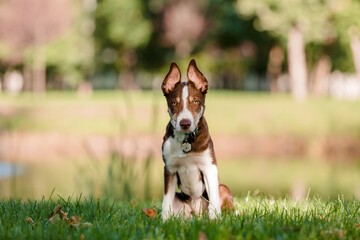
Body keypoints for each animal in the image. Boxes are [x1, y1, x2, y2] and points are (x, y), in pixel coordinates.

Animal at [160, 58, 233, 219]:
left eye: (195, 101)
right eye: (174, 103)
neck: (187, 139)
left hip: (223, 188)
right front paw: (164, 221)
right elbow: (166, 201)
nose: (185, 123)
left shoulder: (209, 167)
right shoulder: (169, 169)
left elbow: (214, 200)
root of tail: (196, 212)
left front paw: (215, 220)